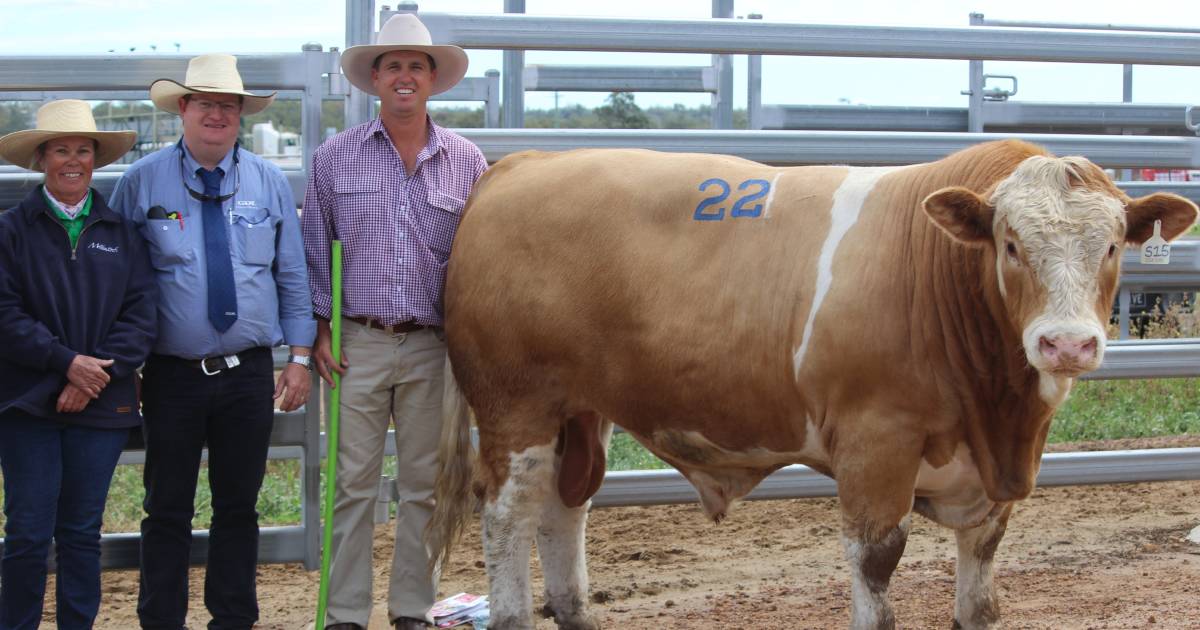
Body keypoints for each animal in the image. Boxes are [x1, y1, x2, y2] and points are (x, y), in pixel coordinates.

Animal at [427, 139, 1195, 624]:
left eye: (1113, 247)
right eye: (1010, 244)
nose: (1066, 343)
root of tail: (522, 164)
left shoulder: (990, 485)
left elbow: (980, 599)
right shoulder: (874, 450)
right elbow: (876, 572)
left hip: (581, 412)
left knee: (565, 507)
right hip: (514, 407)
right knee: (507, 516)